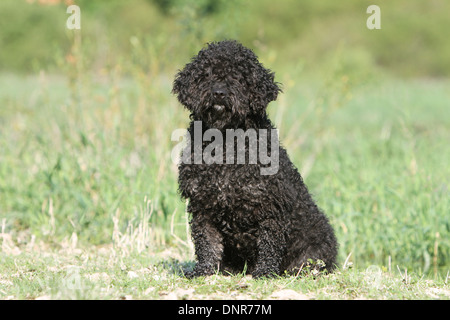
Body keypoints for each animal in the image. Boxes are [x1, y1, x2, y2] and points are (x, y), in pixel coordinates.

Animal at [172, 40, 338, 278]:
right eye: (206, 74)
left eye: (239, 77)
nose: (219, 93)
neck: (225, 143)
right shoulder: (203, 205)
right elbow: (207, 243)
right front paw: (205, 271)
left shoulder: (271, 207)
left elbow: (269, 244)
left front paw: (265, 273)